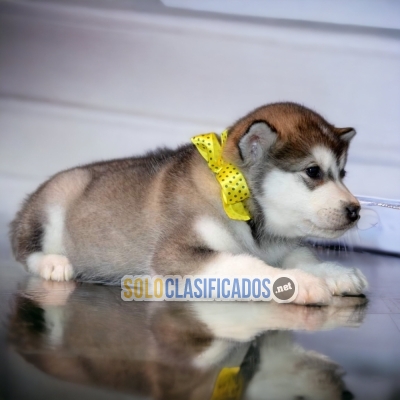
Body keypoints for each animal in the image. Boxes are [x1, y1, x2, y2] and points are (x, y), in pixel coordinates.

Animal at [9, 102, 368, 304]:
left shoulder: (282, 247)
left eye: (342, 173)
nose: (355, 211)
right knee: (24, 251)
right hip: (55, 199)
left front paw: (334, 273)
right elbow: (246, 265)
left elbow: (303, 256)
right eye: (313, 171)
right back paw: (54, 263)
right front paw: (303, 283)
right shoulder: (177, 255)